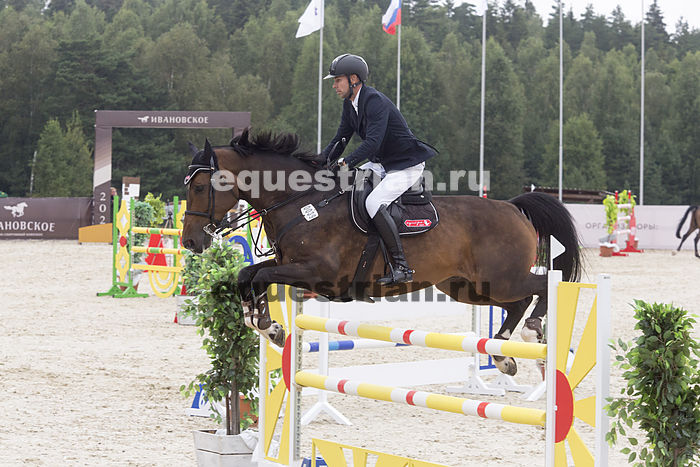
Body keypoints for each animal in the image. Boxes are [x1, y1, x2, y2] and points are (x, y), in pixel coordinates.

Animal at [182, 130, 582, 376]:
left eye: (200, 187)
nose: (190, 243)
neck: (302, 201)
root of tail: (513, 208)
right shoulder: (290, 265)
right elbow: (247, 275)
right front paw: (265, 324)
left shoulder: (317, 272)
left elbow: (259, 276)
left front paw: (268, 326)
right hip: (468, 287)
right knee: (518, 301)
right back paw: (502, 356)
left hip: (501, 279)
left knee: (539, 287)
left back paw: (531, 332)